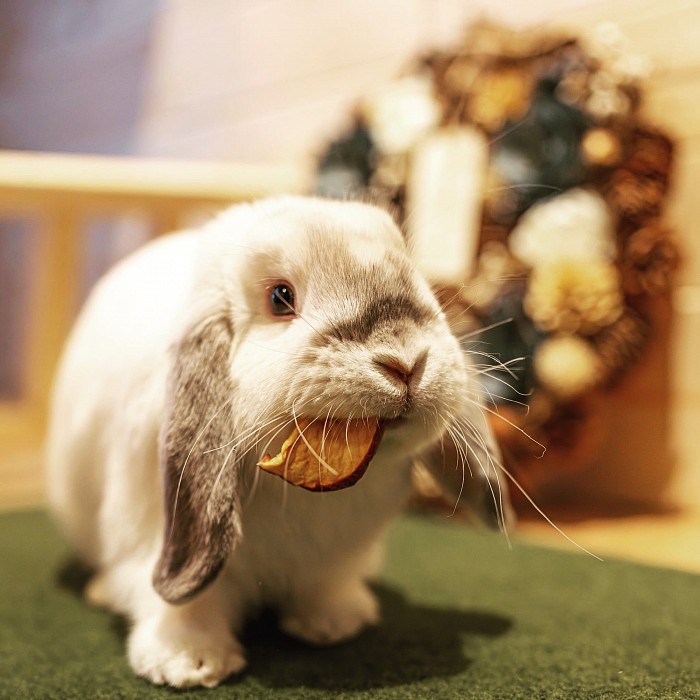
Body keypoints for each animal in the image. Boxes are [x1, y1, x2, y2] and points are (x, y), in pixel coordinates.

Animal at [46, 194, 512, 688]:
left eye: (413, 275)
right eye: (280, 298)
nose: (406, 362)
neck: (300, 493)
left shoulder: (332, 558)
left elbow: (324, 586)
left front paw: (333, 625)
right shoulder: (156, 536)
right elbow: (183, 603)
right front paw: (190, 662)